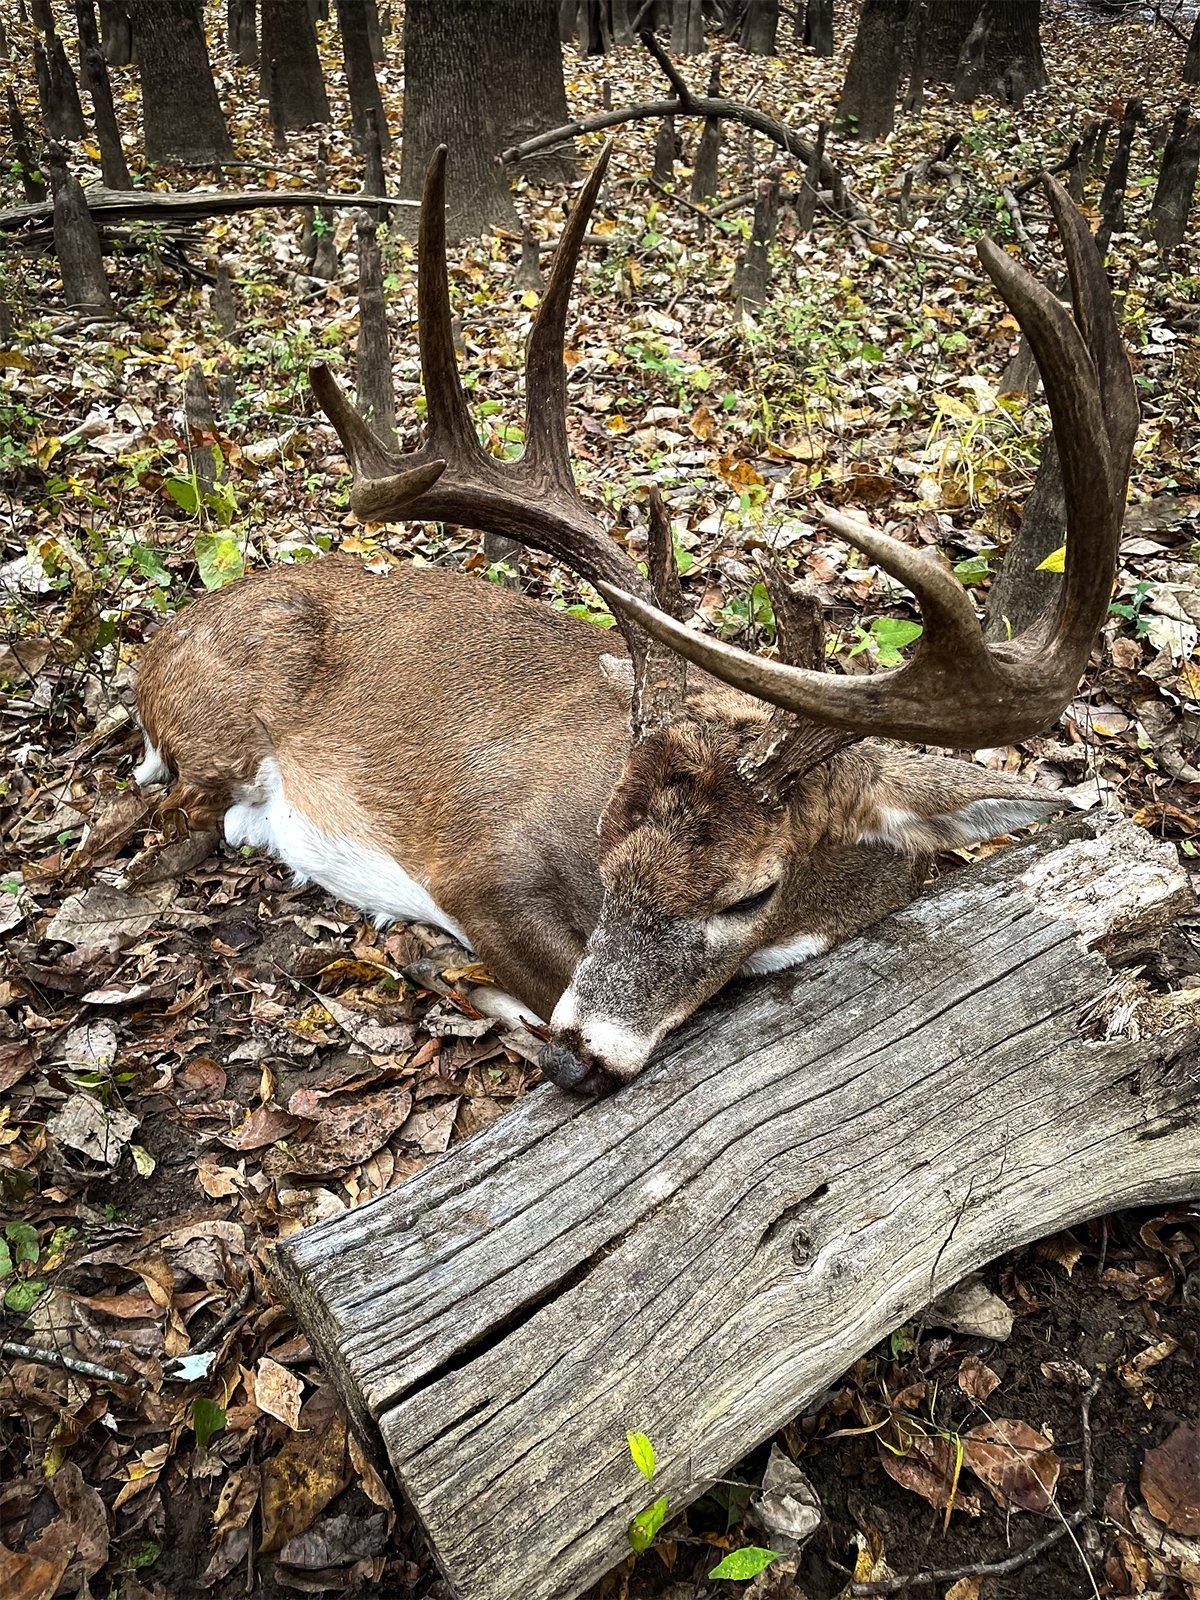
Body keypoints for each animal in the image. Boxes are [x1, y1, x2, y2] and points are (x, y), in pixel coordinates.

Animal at [134, 146, 1137, 1097]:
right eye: (604, 843)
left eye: (749, 896)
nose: (575, 1061)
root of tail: (155, 649)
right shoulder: (479, 866)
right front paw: (467, 981)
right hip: (225, 725)